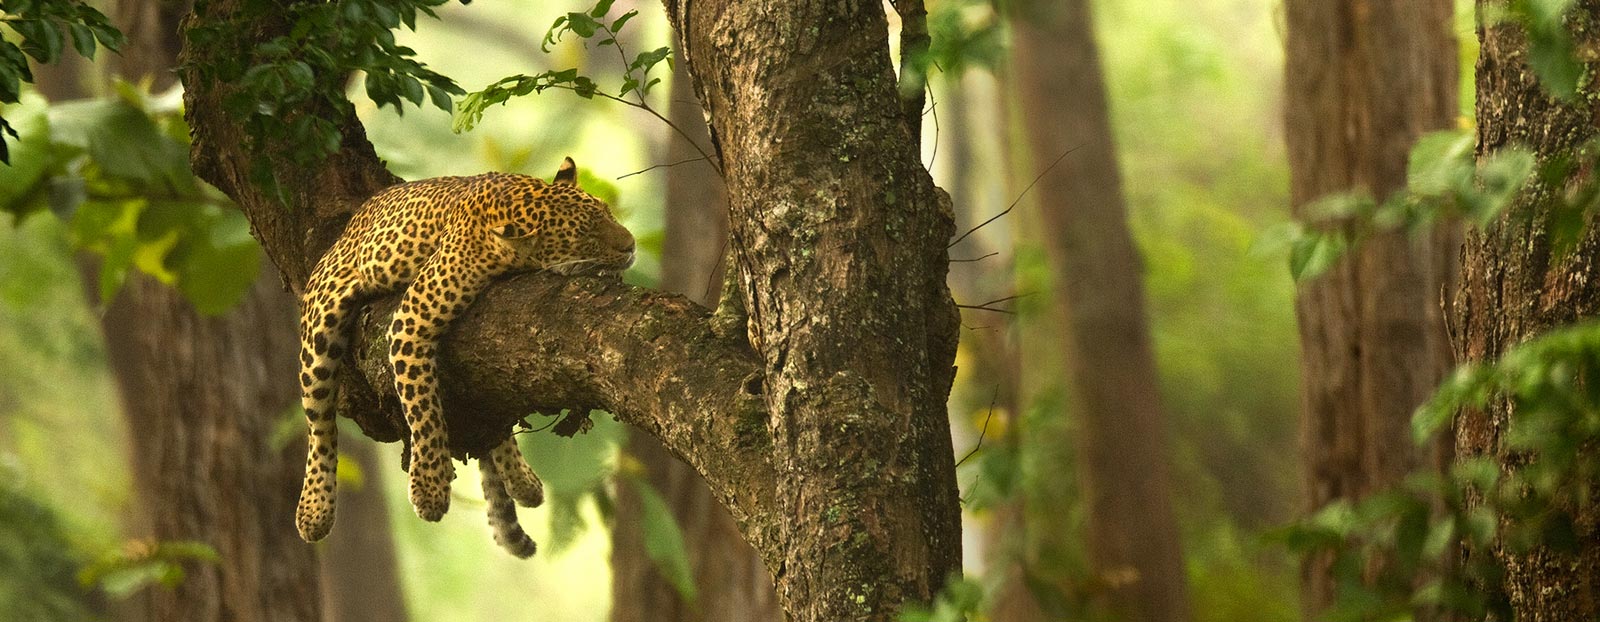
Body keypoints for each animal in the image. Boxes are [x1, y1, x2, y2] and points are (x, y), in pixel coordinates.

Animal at [297, 157, 633, 556]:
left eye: (608, 213)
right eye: (585, 236)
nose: (630, 245)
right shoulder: (411, 319)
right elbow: (423, 408)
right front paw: (429, 488)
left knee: (493, 421)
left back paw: (523, 481)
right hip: (321, 321)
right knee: (320, 424)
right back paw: (314, 511)